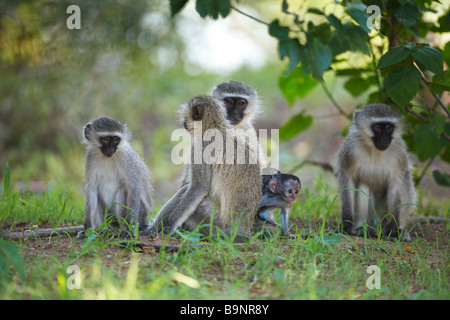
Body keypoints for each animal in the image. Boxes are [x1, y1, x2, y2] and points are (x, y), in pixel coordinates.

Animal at [336, 104, 416, 241]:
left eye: (389, 127)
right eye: (378, 127)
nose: (384, 138)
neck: (375, 150)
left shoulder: (399, 153)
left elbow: (397, 184)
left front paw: (393, 227)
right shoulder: (350, 150)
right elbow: (348, 180)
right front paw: (347, 223)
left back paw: (396, 230)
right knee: (363, 184)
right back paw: (361, 228)